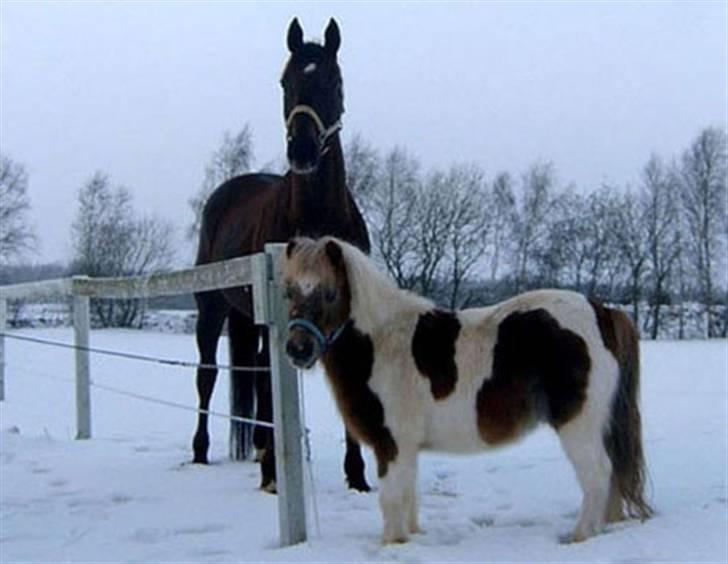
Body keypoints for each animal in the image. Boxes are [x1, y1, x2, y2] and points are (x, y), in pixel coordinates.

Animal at [191, 18, 370, 494]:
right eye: (285, 82)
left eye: (334, 81)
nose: (303, 151)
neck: (317, 220)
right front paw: (275, 472)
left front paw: (357, 474)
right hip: (211, 310)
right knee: (208, 374)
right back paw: (205, 451)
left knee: (255, 370)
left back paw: (259, 447)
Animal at [282, 236, 656, 544]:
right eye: (288, 291)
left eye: (329, 293)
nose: (298, 349)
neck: (381, 342)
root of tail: (602, 311)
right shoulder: (406, 447)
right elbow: (409, 496)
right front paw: (411, 537)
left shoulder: (392, 443)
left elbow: (391, 499)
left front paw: (391, 544)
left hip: (578, 426)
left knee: (598, 473)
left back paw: (580, 536)